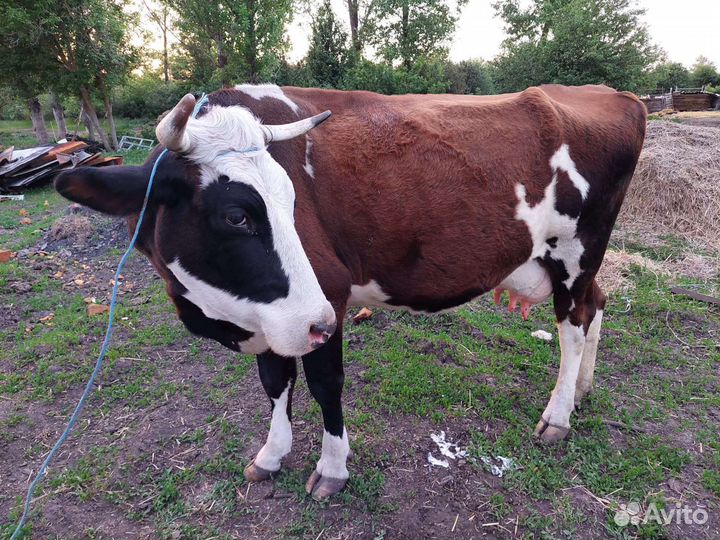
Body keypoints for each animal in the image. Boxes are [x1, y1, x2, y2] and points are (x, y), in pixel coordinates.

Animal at [55, 83, 647, 500]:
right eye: (236, 215)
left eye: (292, 198)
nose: (316, 322)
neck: (219, 313)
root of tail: (609, 93)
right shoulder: (276, 316)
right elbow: (274, 381)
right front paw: (272, 454)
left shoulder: (326, 300)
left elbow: (324, 384)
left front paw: (332, 468)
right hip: (577, 265)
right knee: (596, 307)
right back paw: (582, 390)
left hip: (575, 253)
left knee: (573, 326)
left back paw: (558, 416)